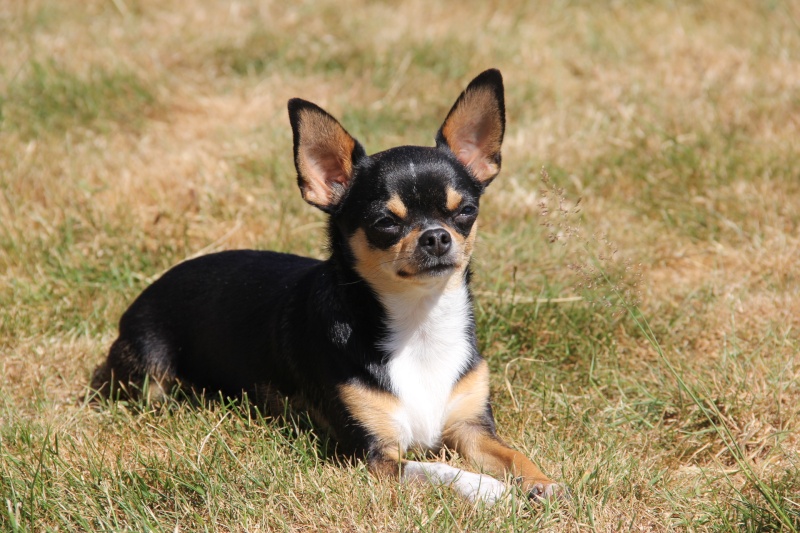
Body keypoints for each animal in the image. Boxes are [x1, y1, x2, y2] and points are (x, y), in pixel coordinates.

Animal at [90, 69, 560, 502]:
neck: (420, 325)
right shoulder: (374, 455)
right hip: (151, 372)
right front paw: (489, 489)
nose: (436, 236)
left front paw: (542, 482)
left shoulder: (471, 428)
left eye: (464, 211)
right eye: (384, 223)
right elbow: (439, 470)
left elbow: (513, 454)